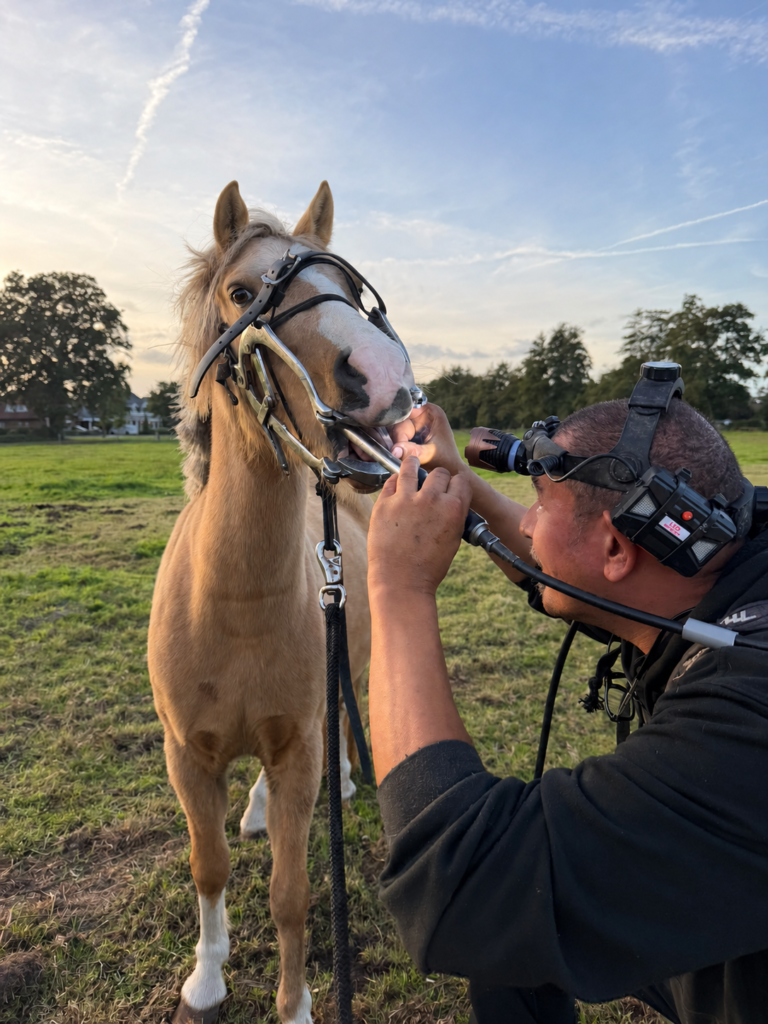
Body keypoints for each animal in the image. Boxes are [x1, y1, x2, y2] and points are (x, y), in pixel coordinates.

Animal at [147, 179, 416, 1024]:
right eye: (242, 292)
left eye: (348, 290)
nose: (382, 376)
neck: (234, 603)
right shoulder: (186, 756)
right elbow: (208, 866)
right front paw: (206, 978)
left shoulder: (297, 749)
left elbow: (292, 893)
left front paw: (295, 1003)